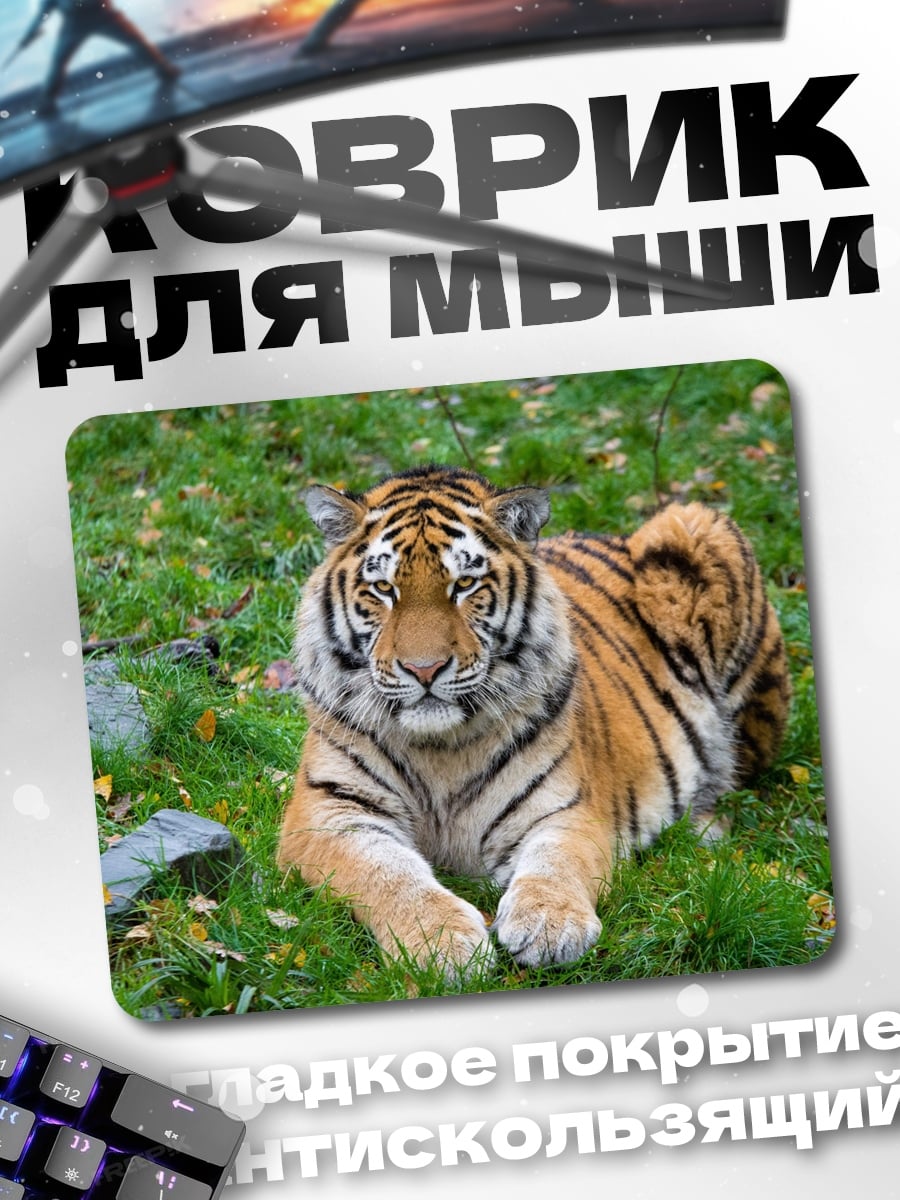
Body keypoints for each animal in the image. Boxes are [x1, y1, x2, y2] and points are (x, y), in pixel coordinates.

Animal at [276, 464, 790, 974]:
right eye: (384, 589)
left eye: (465, 585)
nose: (424, 669)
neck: (439, 748)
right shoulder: (328, 812)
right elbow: (386, 873)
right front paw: (442, 941)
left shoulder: (567, 809)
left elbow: (556, 863)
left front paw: (550, 924)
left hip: (697, 528)